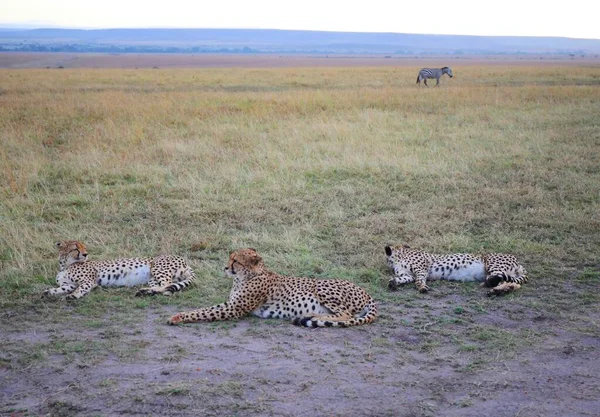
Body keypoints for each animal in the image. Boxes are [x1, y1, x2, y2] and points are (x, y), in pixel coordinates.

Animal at [42, 240, 197, 300]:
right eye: (75, 248)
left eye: (84, 247)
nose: (86, 254)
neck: (65, 265)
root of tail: (185, 261)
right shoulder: (68, 284)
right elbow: (58, 289)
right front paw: (47, 292)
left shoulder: (88, 281)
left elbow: (80, 289)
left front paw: (73, 296)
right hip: (152, 278)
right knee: (163, 286)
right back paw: (145, 291)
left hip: (158, 267)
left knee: (167, 285)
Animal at [166, 247, 378, 328]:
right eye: (230, 257)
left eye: (235, 260)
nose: (225, 267)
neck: (246, 276)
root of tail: (367, 293)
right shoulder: (231, 304)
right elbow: (203, 309)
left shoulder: (234, 309)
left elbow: (202, 312)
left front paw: (178, 317)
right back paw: (310, 316)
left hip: (322, 286)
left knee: (347, 315)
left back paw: (313, 317)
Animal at [386, 242, 528, 294]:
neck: (400, 255)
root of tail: (519, 262)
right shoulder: (408, 275)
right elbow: (402, 279)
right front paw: (393, 282)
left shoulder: (421, 270)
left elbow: (418, 281)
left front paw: (422, 287)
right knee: (512, 283)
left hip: (493, 265)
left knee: (502, 280)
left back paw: (497, 290)